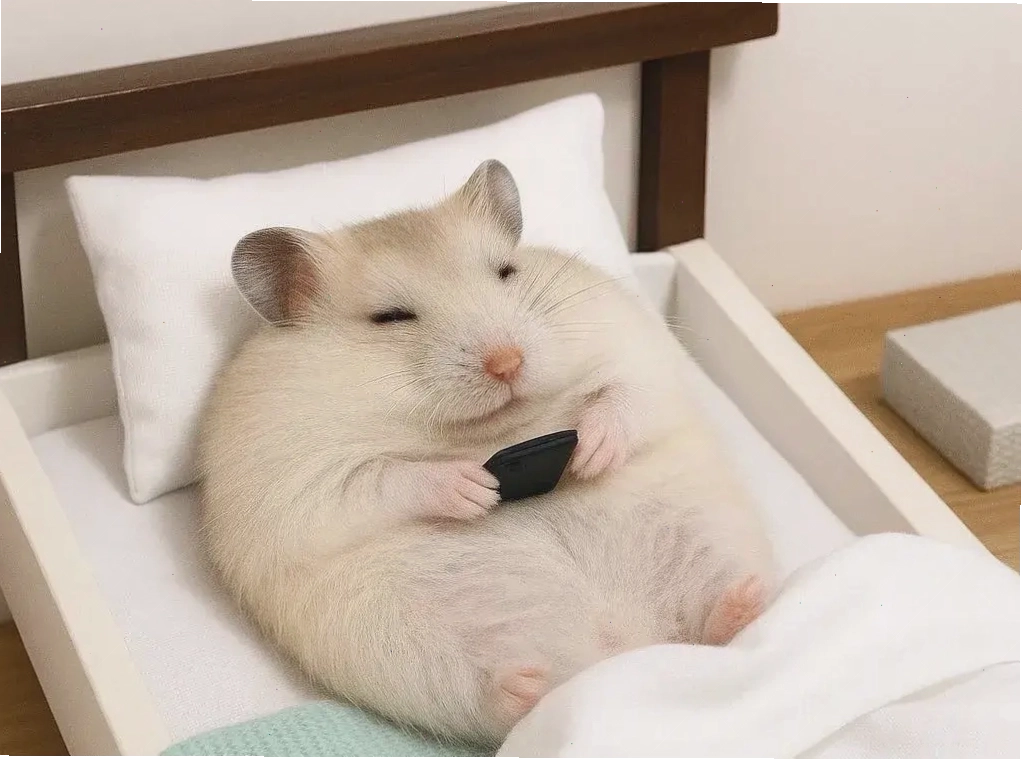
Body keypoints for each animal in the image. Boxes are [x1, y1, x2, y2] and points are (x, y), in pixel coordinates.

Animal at [197, 159, 776, 747]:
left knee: (716, 618)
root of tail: (626, 646)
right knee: (486, 695)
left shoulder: (637, 350)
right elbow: (383, 479)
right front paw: (476, 489)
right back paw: (525, 688)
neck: (494, 430)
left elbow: (627, 394)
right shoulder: (300, 480)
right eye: (391, 317)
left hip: (707, 531)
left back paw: (745, 602)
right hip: (398, 640)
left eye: (505, 272)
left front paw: (591, 453)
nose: (507, 362)